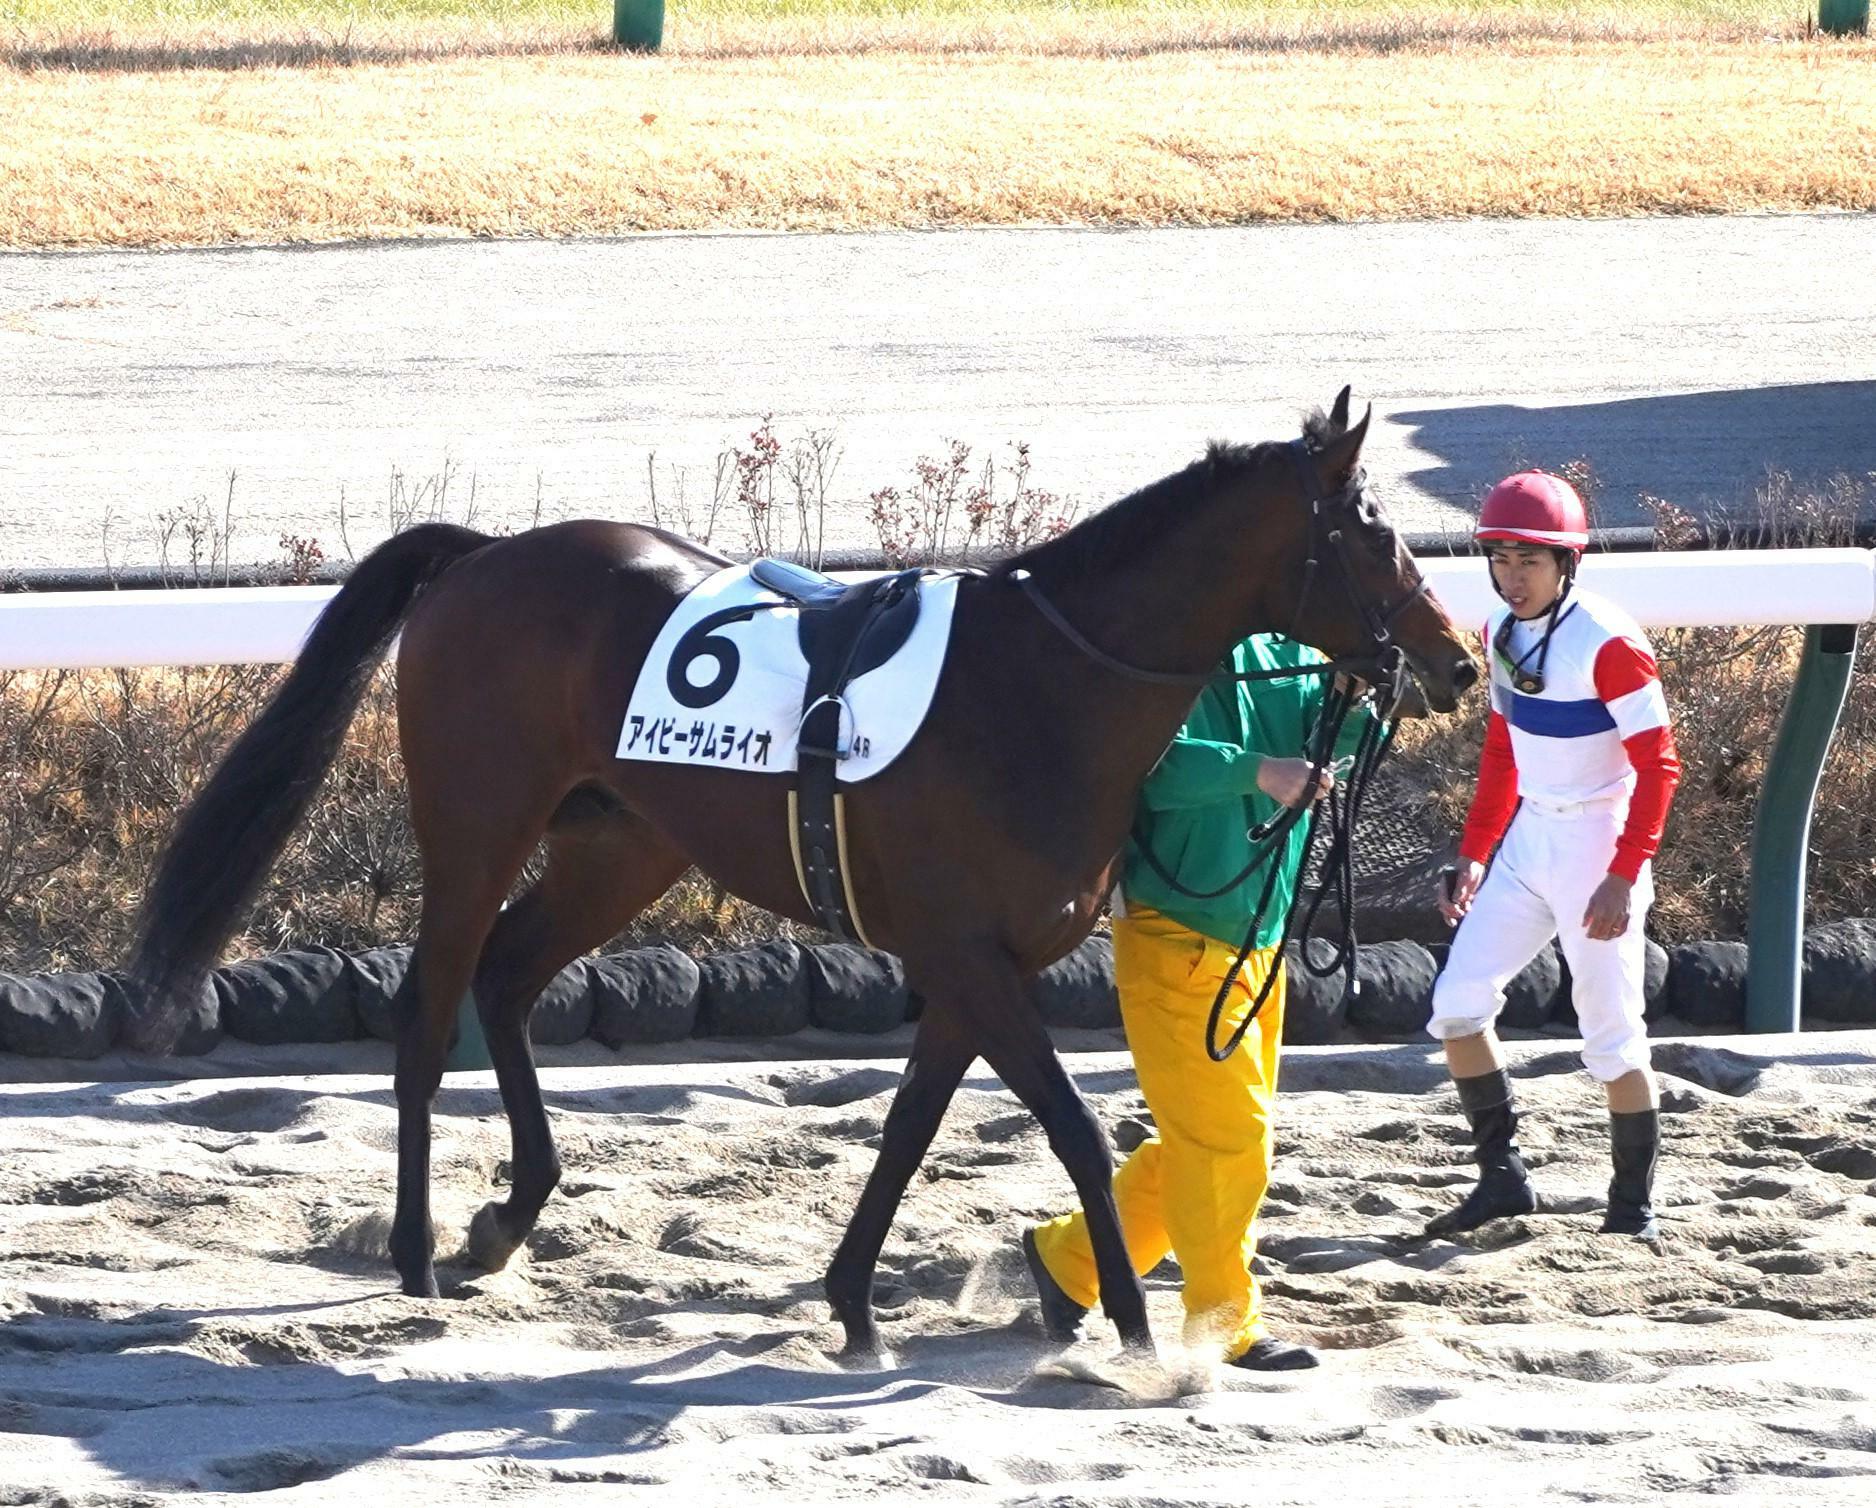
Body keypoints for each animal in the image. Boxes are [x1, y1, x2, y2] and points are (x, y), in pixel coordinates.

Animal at [128, 393, 1478, 1357]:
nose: (1456, 660)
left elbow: (911, 1124)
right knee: (429, 1004)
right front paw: (1137, 1331)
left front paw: (855, 1299)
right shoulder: (969, 956)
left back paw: (510, 1213)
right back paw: (413, 1246)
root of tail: (484, 555)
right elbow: (1077, 1125)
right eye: (1372, 531)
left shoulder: (969, 965)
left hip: (624, 841)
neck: (1040, 685)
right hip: (477, 824)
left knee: (507, 978)